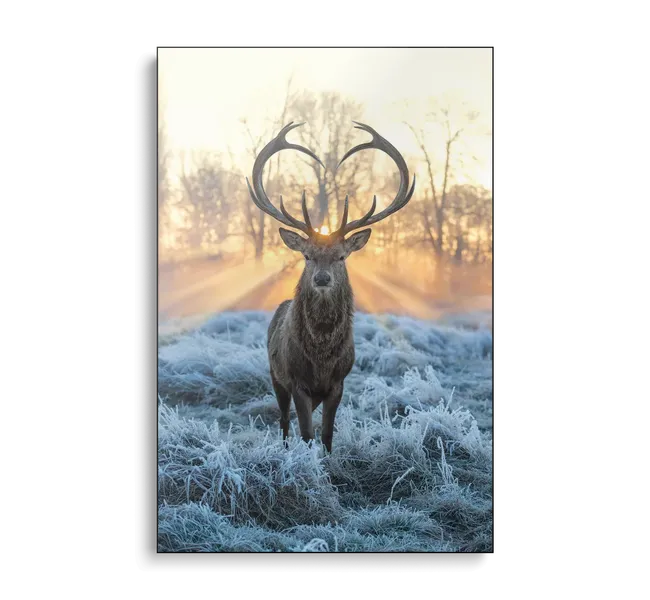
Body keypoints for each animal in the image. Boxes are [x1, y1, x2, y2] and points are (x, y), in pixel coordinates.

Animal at [246, 121, 415, 452]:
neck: (321, 359)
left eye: (341, 256)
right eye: (307, 255)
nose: (322, 278)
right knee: (283, 421)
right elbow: (306, 433)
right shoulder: (296, 381)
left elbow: (326, 436)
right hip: (274, 373)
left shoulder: (339, 382)